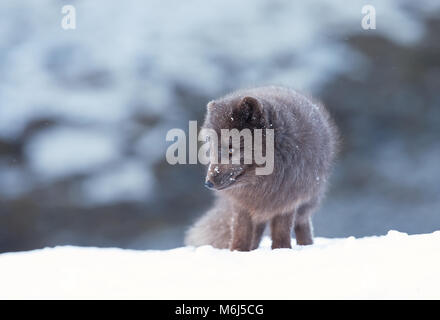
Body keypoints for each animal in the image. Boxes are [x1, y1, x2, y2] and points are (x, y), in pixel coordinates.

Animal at [184, 86, 338, 251]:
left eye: (231, 149)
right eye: (211, 148)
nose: (208, 183)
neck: (261, 185)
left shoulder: (287, 200)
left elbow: (281, 231)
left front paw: (281, 250)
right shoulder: (242, 204)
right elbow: (240, 232)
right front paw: (238, 251)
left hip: (306, 202)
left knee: (302, 223)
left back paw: (306, 244)